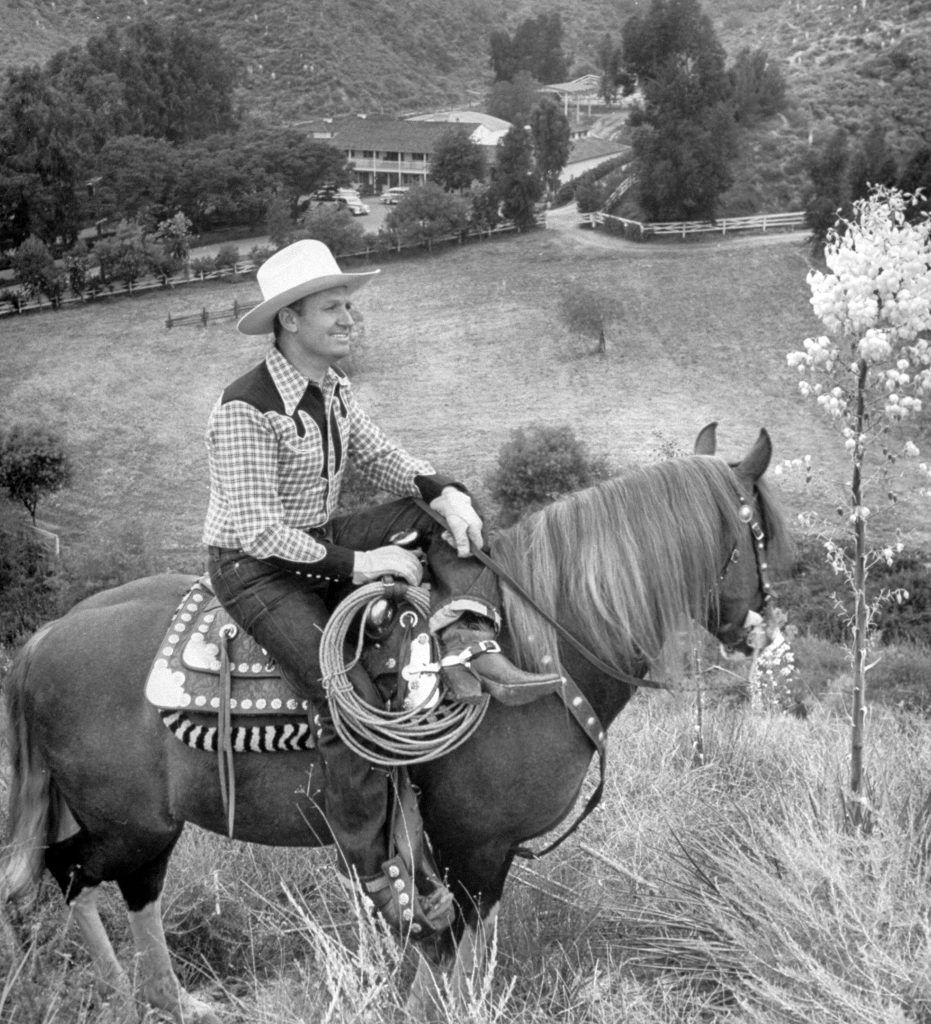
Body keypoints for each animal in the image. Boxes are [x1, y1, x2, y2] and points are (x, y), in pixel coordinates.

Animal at [0, 421, 786, 1015]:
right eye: (764, 539)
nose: (763, 629)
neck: (541, 645)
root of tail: (44, 640)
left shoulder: (472, 858)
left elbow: (451, 959)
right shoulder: (475, 848)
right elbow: (443, 961)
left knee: (82, 881)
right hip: (135, 828)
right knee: (77, 877)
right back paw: (146, 997)